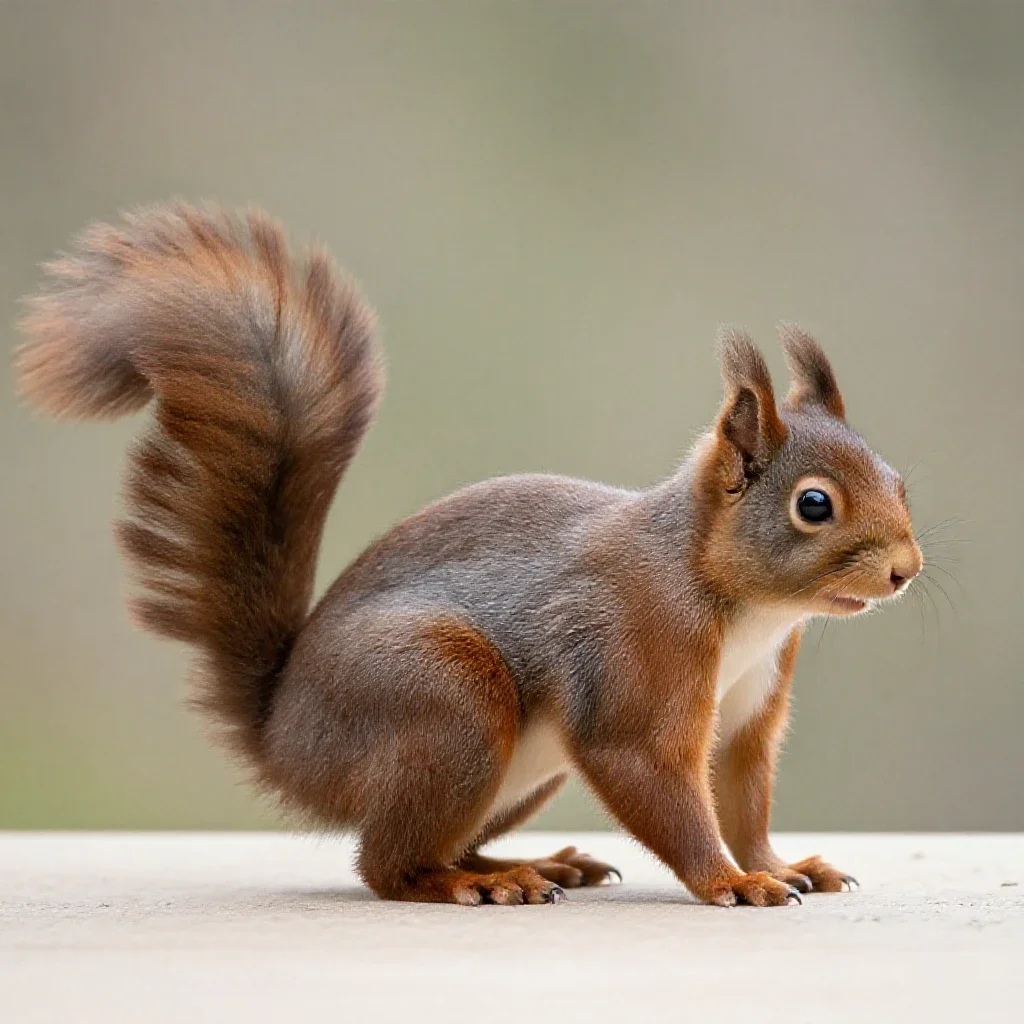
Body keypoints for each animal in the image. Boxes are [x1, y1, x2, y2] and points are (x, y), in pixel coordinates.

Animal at [17, 203, 923, 908]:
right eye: (814, 505)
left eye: (900, 480)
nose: (905, 569)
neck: (738, 602)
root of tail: (281, 736)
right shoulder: (637, 656)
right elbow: (656, 780)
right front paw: (731, 881)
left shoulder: (750, 711)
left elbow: (744, 796)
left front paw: (784, 864)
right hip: (447, 702)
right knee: (386, 865)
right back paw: (475, 884)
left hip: (514, 767)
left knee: (432, 843)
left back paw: (533, 864)